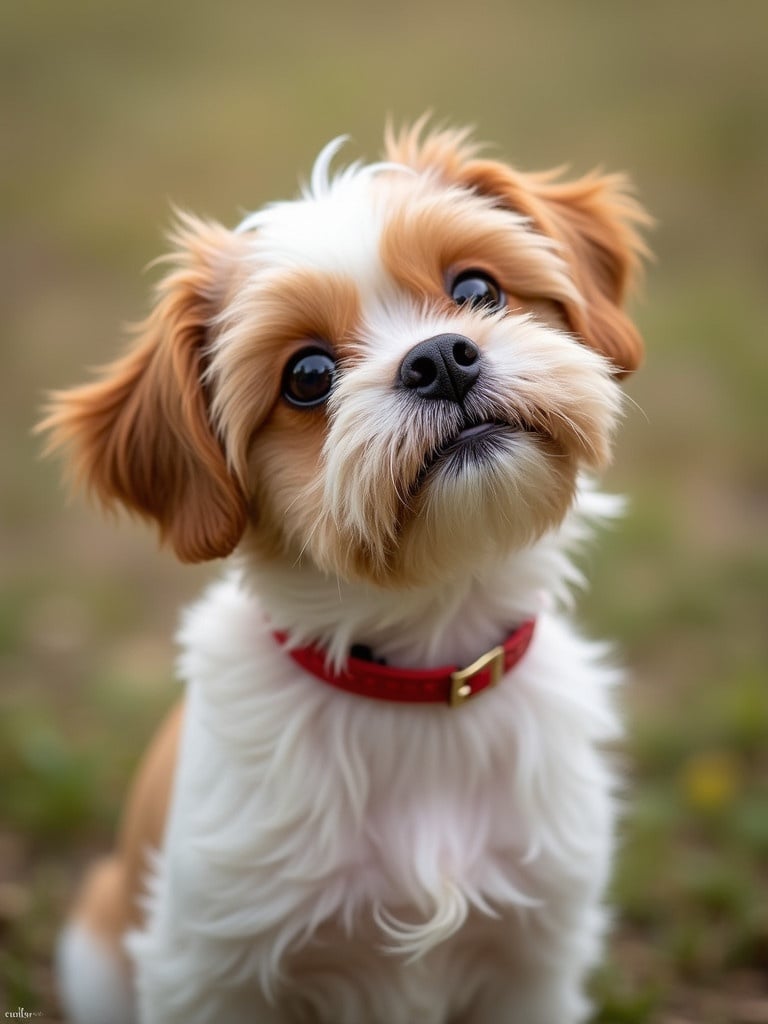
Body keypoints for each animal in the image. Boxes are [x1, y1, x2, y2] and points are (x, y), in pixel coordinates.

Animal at [41, 121, 651, 1024]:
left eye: (477, 289)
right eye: (307, 377)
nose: (441, 358)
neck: (419, 673)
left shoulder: (535, 960)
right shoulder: (210, 971)